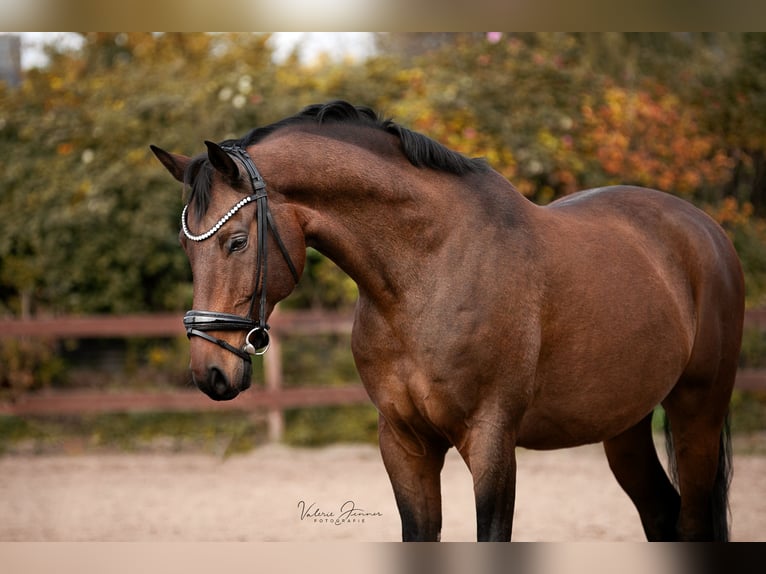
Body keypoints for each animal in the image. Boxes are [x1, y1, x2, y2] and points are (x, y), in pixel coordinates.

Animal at [150, 100, 744, 544]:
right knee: (661, 514)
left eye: (237, 241)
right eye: (185, 245)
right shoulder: (404, 443)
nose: (210, 372)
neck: (427, 271)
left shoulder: (491, 441)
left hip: (697, 412)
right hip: (624, 426)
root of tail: (704, 229)